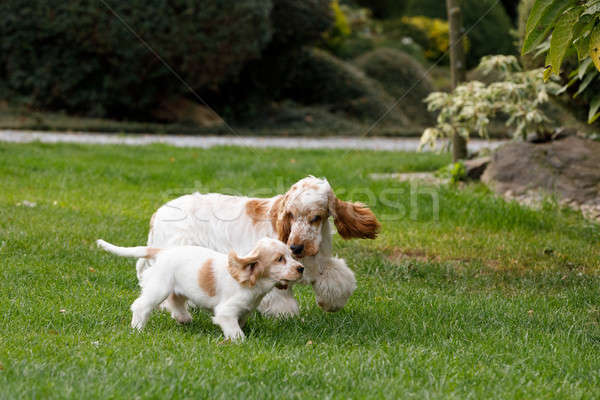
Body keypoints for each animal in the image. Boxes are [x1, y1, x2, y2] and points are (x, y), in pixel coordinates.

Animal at [99, 238, 304, 340]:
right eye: (279, 259)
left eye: (290, 255)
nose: (301, 268)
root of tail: (162, 251)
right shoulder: (226, 311)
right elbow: (234, 329)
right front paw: (241, 340)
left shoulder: (246, 309)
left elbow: (242, 319)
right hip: (159, 287)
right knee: (141, 306)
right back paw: (137, 329)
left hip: (178, 287)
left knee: (176, 301)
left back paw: (184, 319)